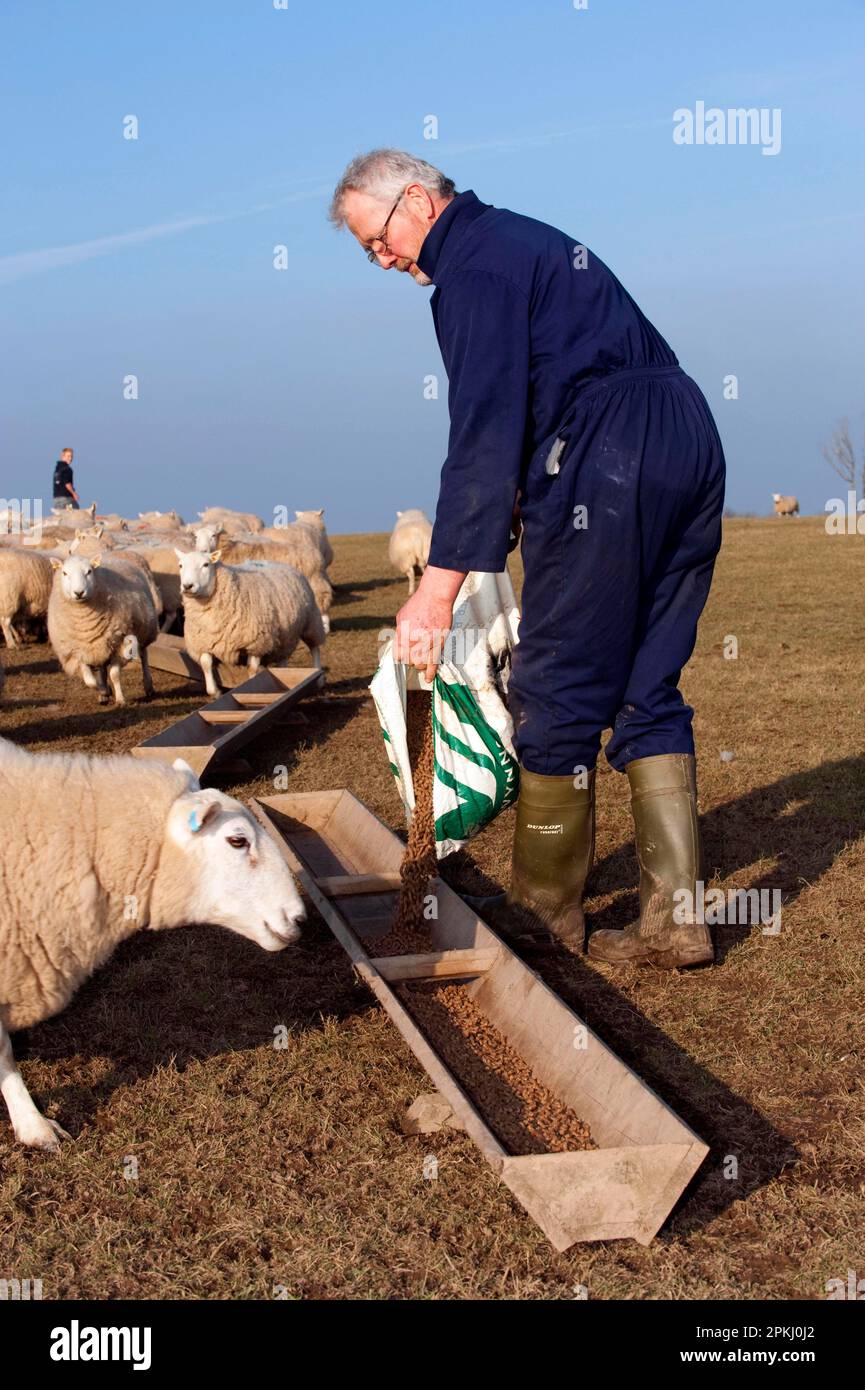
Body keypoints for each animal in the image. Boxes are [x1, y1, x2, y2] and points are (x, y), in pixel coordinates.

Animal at [47, 553, 161, 706]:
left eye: (89, 571)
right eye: (65, 573)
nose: (79, 592)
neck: (85, 622)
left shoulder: (120, 643)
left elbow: (115, 674)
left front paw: (120, 699)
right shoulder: (77, 652)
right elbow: (90, 681)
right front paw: (104, 691)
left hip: (143, 631)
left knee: (144, 657)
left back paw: (148, 686)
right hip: (100, 644)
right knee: (101, 668)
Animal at [178, 544, 326, 692]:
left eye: (206, 564)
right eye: (180, 565)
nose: (187, 586)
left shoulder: (256, 643)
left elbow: (252, 669)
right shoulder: (201, 643)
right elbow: (206, 664)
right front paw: (215, 692)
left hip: (311, 622)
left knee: (315, 648)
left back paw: (319, 679)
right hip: (286, 634)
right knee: (282, 658)